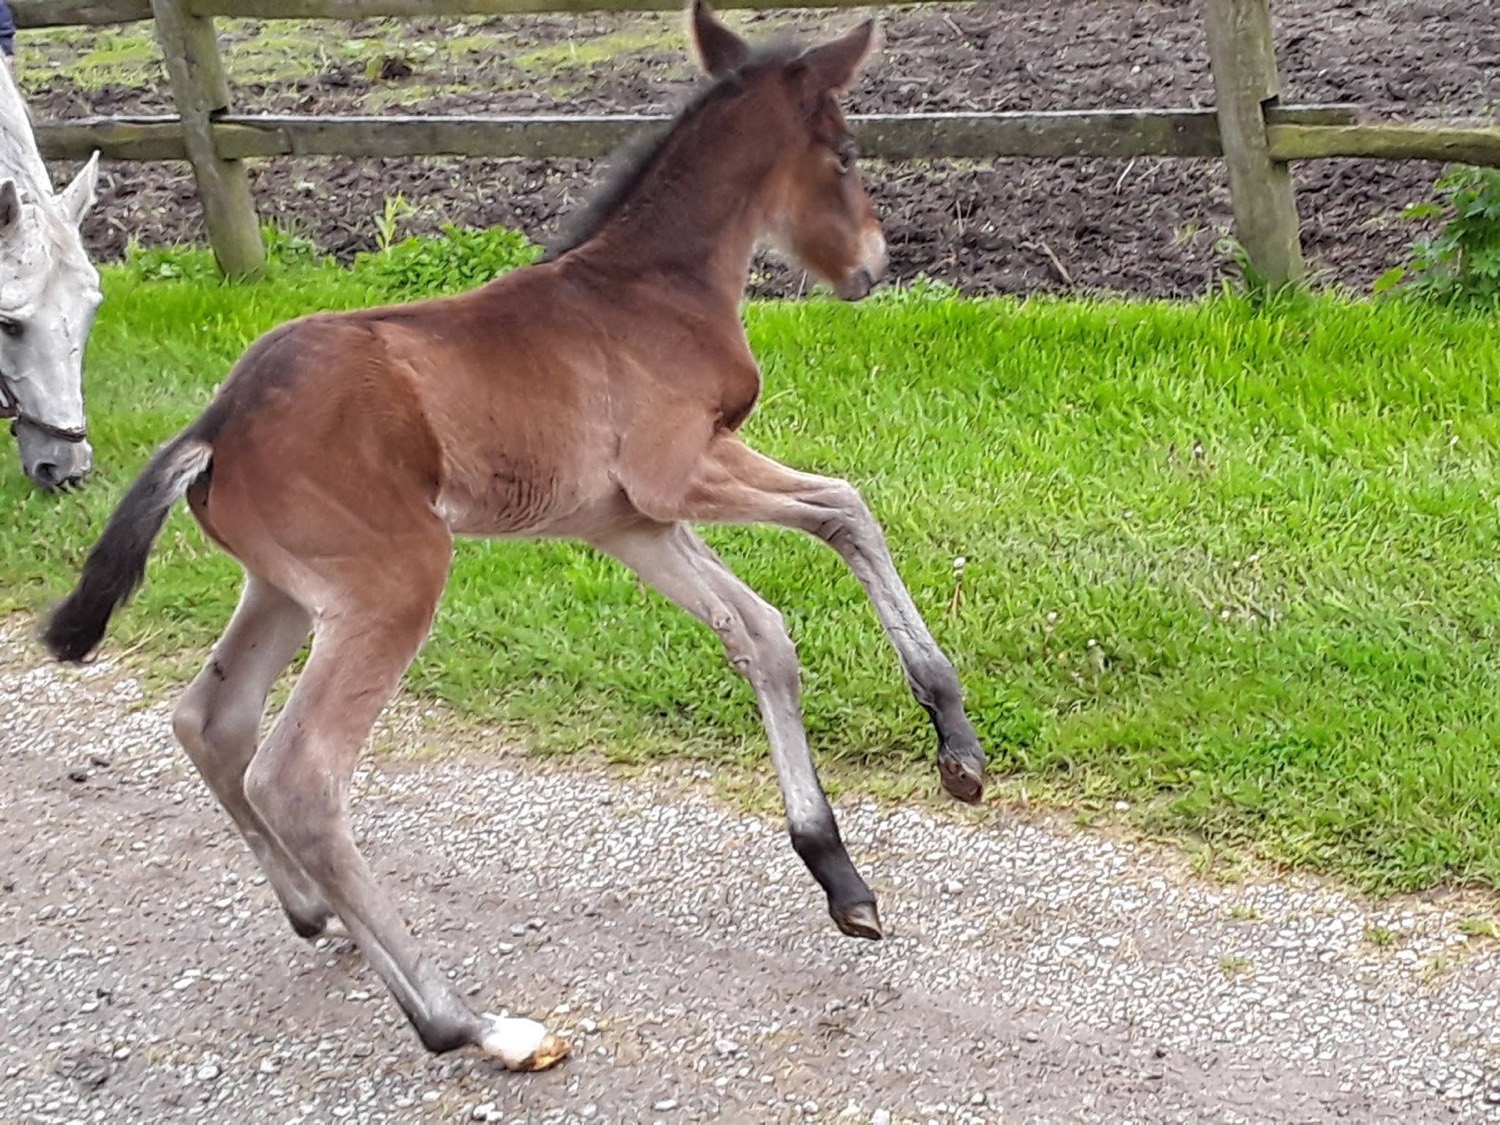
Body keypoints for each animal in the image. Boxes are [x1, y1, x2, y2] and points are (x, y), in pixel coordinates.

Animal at [42, 2, 987, 1070]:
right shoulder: (680, 469)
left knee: (211, 718)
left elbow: (762, 632)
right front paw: (952, 737)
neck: (652, 286)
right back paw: (468, 1023)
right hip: (396, 580)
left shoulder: (630, 521)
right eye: (846, 151)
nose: (873, 263)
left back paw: (313, 910)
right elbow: (847, 507)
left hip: (284, 589)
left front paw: (843, 868)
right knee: (297, 776)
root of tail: (213, 426)